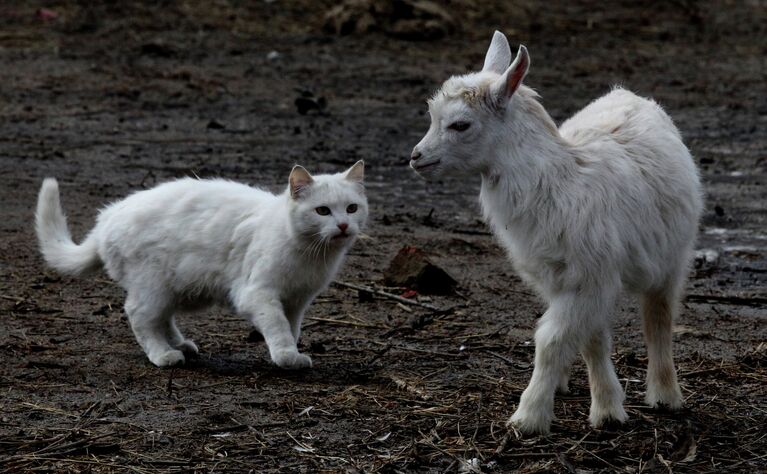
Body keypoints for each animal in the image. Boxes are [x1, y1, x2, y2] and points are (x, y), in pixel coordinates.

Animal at [36, 163, 368, 370]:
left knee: (161, 318)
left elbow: (292, 327)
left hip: (172, 288)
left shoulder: (297, 300)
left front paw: (292, 352)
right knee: (139, 316)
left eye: (352, 208)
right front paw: (287, 356)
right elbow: (277, 326)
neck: (312, 254)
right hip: (153, 285)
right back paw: (163, 354)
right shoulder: (258, 294)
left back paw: (180, 344)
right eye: (322, 211)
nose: (342, 225)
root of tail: (107, 216)